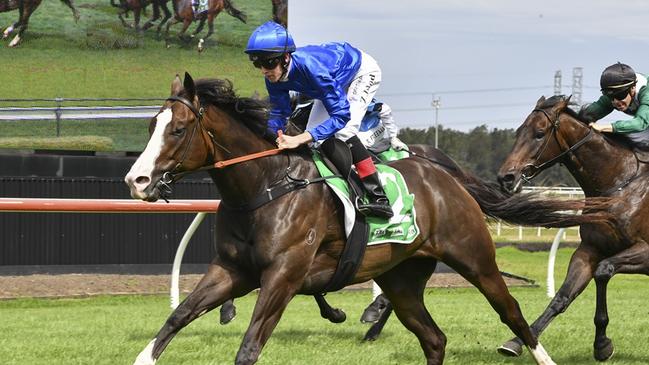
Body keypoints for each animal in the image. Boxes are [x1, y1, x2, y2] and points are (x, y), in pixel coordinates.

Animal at [123, 74, 612, 364]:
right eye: (150, 126)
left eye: (178, 129)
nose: (137, 179)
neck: (266, 186)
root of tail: (445, 175)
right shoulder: (232, 270)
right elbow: (177, 317)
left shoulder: (283, 274)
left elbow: (249, 346)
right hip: (401, 279)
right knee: (433, 338)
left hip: (476, 259)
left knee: (512, 314)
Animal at [496, 94, 644, 362]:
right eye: (519, 131)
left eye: (539, 134)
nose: (506, 178)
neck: (619, 184)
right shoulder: (588, 250)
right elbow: (562, 296)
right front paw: (517, 342)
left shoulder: (645, 252)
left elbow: (603, 270)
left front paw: (602, 344)